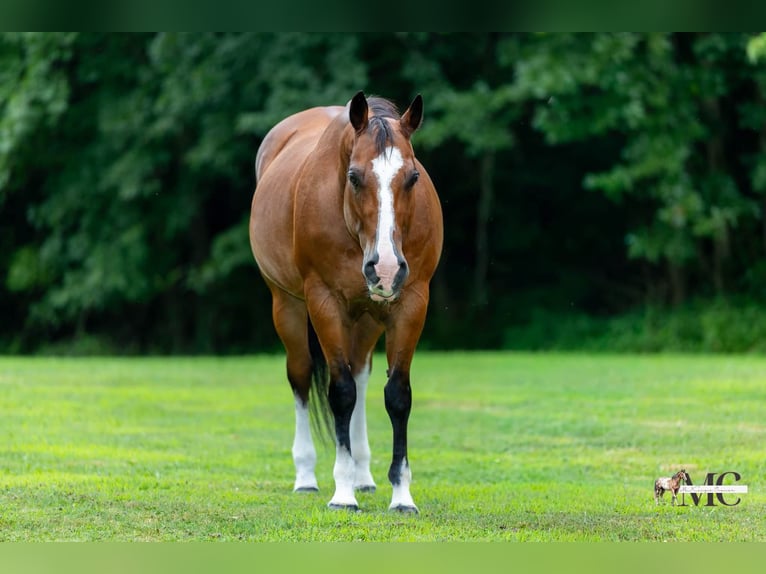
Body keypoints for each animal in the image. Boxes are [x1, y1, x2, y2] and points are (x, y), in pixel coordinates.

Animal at [249, 91, 443, 513]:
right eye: (354, 176)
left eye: (413, 177)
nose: (385, 267)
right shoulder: (325, 303)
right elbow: (340, 393)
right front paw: (342, 492)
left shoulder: (411, 303)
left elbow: (397, 396)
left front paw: (401, 495)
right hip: (287, 305)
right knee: (302, 376)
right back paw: (307, 476)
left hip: (367, 319)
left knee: (360, 375)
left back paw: (364, 475)